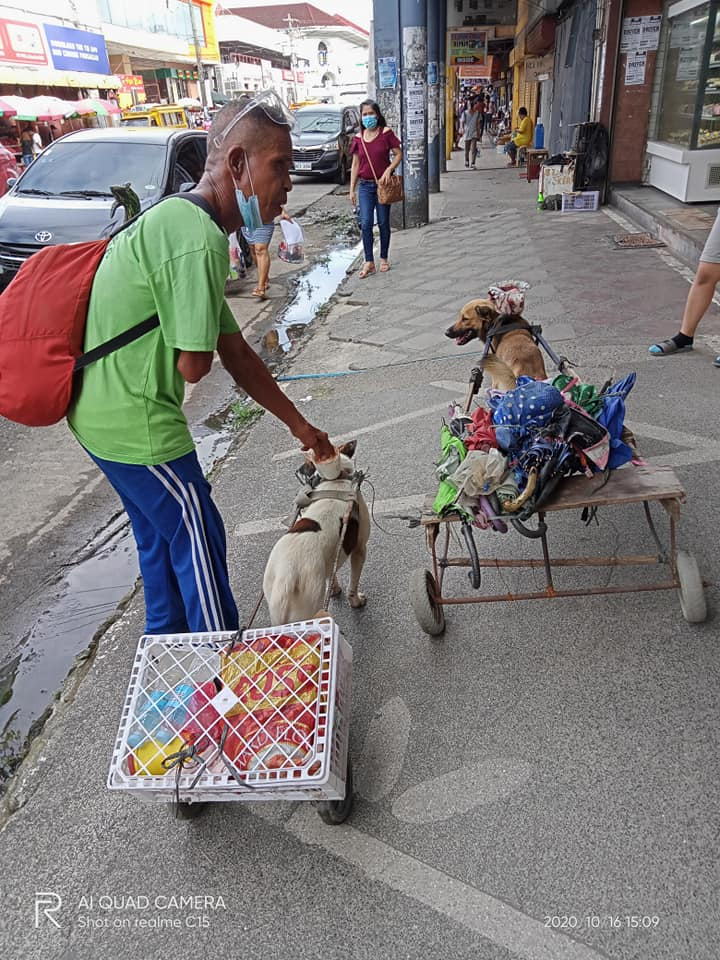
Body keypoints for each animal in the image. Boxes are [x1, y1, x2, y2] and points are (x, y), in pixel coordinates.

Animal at [262, 438, 368, 628]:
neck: (337, 481)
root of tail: (286, 578)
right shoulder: (360, 549)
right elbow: (353, 585)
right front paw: (356, 601)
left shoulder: (332, 557)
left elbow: (332, 575)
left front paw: (334, 589)